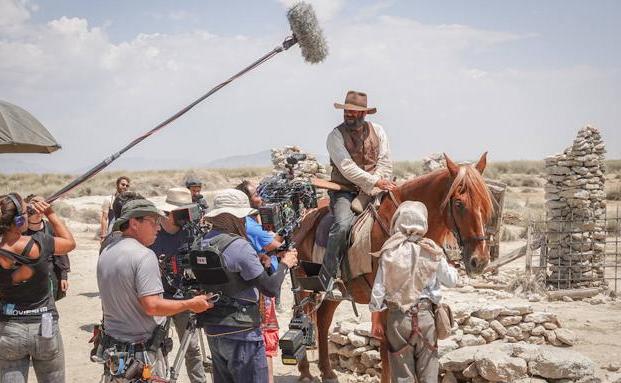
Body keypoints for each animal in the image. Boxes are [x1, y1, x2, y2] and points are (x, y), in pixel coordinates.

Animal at [294, 153, 492, 383]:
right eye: (459, 203)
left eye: (487, 203)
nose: (479, 260)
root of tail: (304, 218)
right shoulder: (386, 302)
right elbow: (387, 350)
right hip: (302, 284)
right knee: (302, 317)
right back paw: (305, 371)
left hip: (334, 292)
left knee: (323, 320)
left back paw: (327, 372)